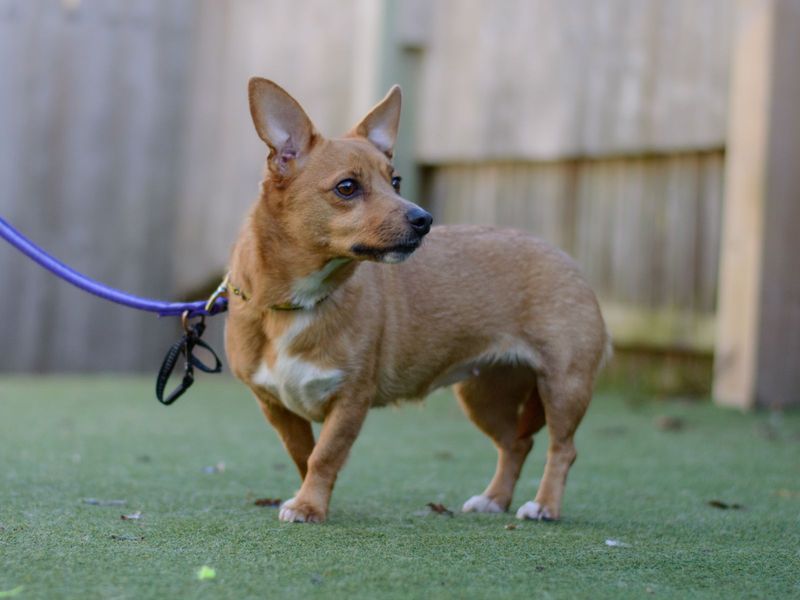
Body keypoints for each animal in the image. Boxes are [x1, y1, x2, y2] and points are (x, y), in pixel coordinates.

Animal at [222, 78, 608, 520]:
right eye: (347, 187)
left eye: (396, 182)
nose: (424, 220)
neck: (301, 301)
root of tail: (566, 258)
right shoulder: (275, 405)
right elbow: (304, 453)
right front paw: (312, 501)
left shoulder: (350, 400)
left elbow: (325, 455)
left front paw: (307, 505)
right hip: (484, 396)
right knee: (517, 443)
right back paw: (494, 498)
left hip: (563, 387)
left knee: (563, 448)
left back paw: (543, 505)